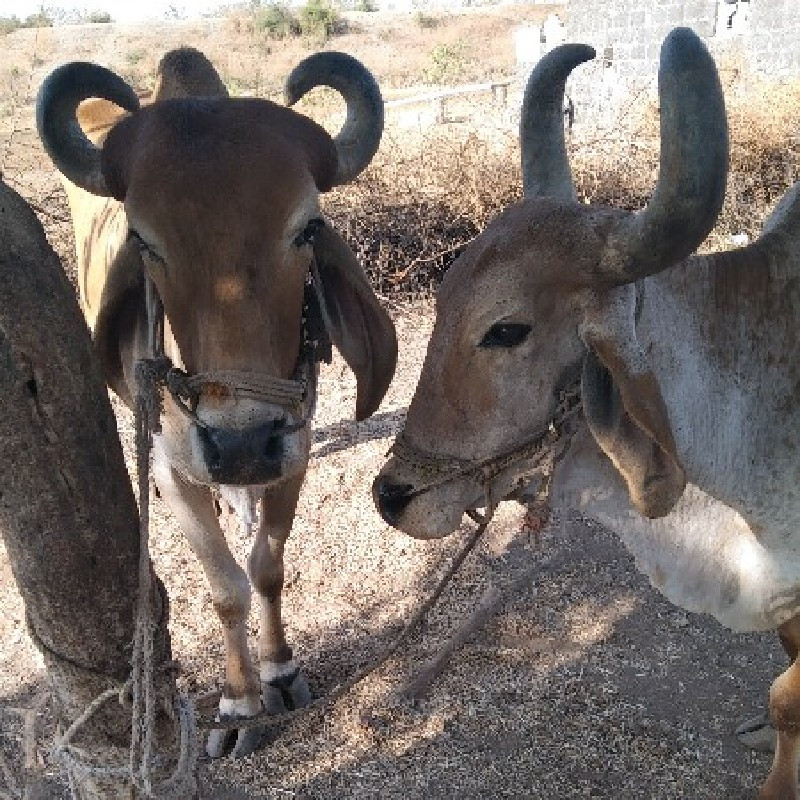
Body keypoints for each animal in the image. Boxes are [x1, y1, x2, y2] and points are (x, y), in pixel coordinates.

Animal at [38, 47, 400, 760]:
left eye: (307, 227)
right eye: (144, 241)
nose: (239, 441)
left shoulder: (292, 447)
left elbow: (266, 566)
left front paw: (279, 671)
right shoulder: (172, 467)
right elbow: (226, 588)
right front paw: (237, 704)